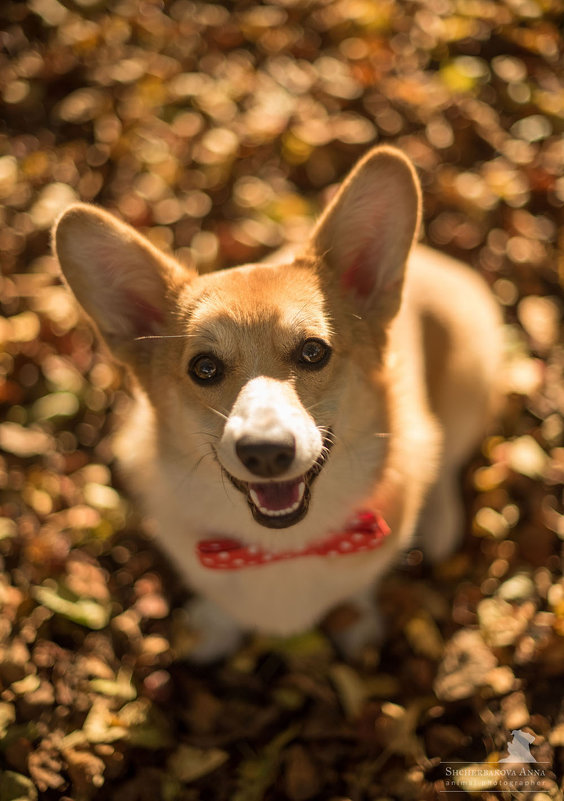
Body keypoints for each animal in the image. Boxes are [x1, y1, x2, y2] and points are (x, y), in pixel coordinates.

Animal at [54, 147, 502, 660]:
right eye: (204, 368)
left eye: (312, 352)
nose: (266, 452)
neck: (285, 544)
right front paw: (214, 627)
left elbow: (359, 587)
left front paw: (356, 620)